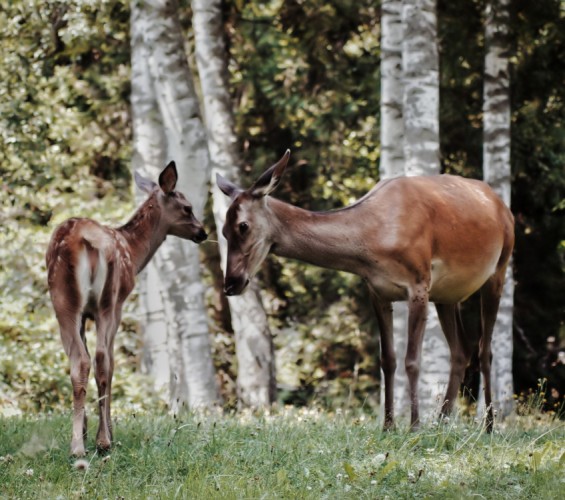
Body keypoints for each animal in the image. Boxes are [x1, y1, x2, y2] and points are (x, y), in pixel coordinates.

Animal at [46, 162, 207, 456]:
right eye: (187, 207)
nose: (203, 232)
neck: (133, 251)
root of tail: (82, 242)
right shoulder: (119, 304)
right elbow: (110, 363)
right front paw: (108, 431)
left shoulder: (83, 314)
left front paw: (84, 430)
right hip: (106, 301)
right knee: (100, 359)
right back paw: (102, 441)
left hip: (63, 301)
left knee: (80, 361)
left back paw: (78, 446)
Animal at [217, 150, 516, 432]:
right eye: (222, 231)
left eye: (243, 226)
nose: (231, 282)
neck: (374, 241)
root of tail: (503, 207)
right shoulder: (377, 291)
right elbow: (388, 360)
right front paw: (388, 425)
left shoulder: (419, 283)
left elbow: (412, 361)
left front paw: (414, 426)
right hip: (446, 295)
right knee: (461, 351)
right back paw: (442, 423)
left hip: (499, 268)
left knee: (485, 350)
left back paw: (488, 425)